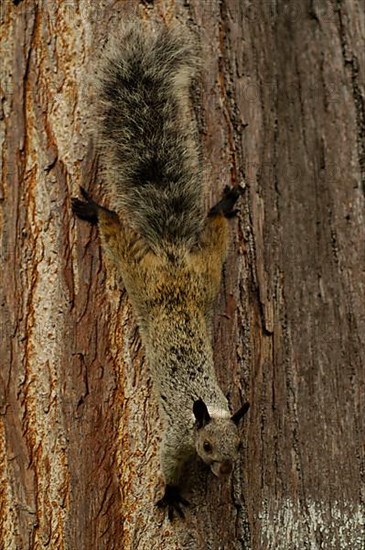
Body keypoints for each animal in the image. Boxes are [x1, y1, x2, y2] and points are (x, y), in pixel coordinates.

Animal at [72, 20, 247, 520]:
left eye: (239, 447)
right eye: (207, 447)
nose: (224, 472)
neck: (204, 409)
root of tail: (171, 256)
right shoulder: (175, 439)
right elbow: (168, 467)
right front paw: (170, 495)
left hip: (205, 270)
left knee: (214, 232)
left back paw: (223, 205)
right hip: (139, 270)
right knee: (115, 230)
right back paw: (94, 210)